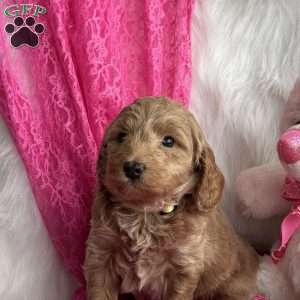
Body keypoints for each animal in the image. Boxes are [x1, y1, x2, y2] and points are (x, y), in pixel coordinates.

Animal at [83, 97, 258, 298]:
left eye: (168, 141)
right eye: (121, 136)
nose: (132, 168)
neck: (145, 214)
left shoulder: (183, 266)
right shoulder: (100, 253)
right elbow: (99, 292)